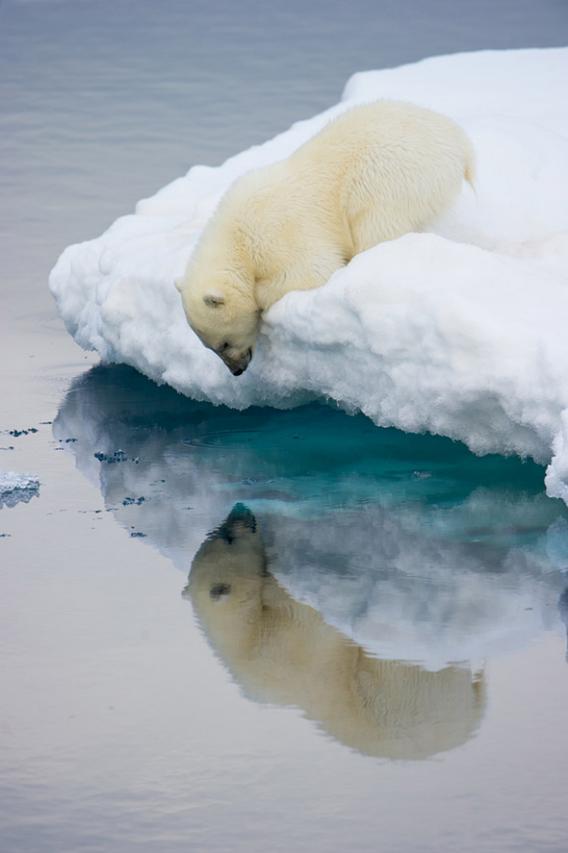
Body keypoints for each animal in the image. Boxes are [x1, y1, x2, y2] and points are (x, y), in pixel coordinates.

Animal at [178, 100, 474, 372]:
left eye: (223, 343)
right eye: (209, 347)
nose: (237, 370)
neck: (235, 238)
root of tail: (459, 140)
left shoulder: (277, 233)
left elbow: (312, 270)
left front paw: (259, 295)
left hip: (390, 172)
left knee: (375, 224)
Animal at [184, 502, 486, 756]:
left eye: (217, 534)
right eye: (227, 538)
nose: (240, 508)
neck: (245, 637)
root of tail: (470, 717)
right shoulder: (290, 642)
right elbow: (305, 616)